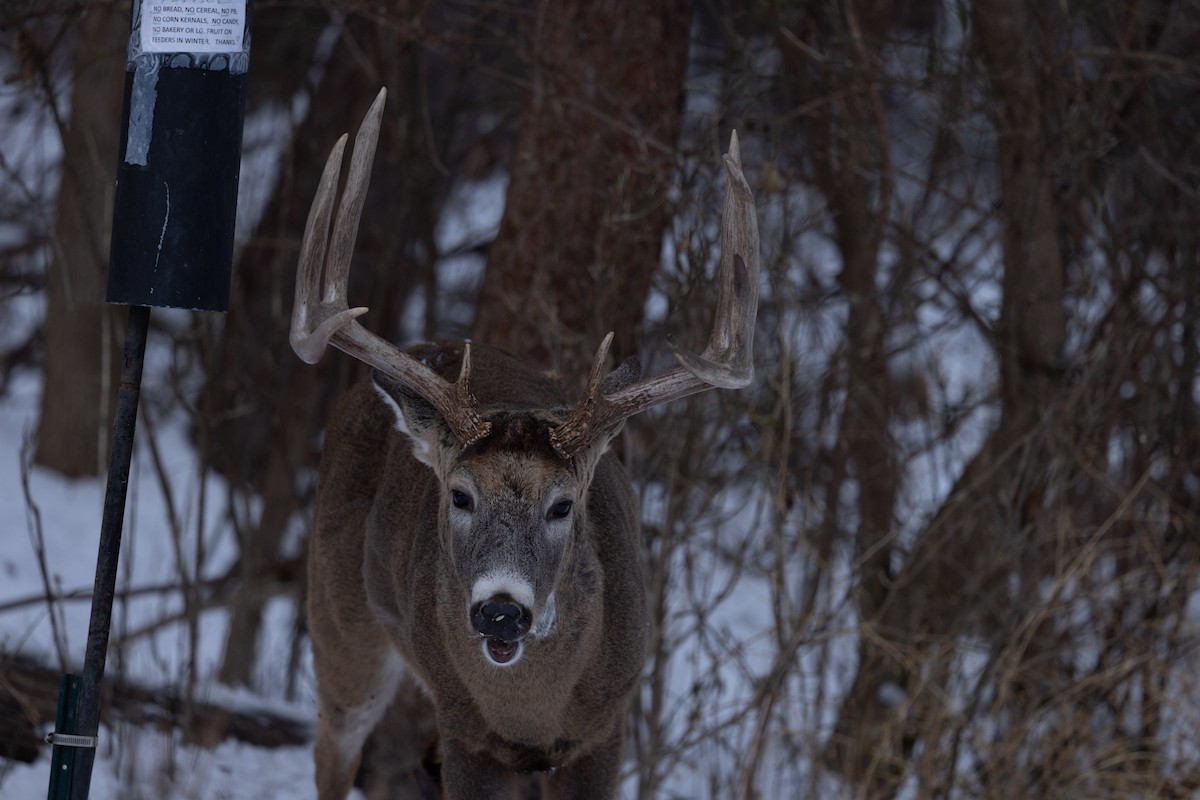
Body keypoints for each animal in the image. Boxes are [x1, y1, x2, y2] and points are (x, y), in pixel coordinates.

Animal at [291, 87, 759, 800]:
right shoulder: (465, 730)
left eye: (563, 504)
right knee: (330, 751)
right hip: (338, 616)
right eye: (459, 496)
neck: (534, 716)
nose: (501, 612)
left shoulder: (605, 729)